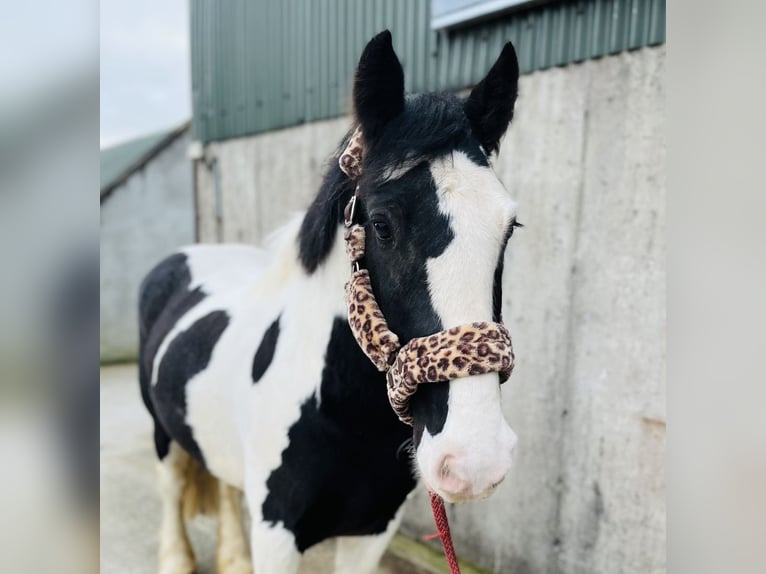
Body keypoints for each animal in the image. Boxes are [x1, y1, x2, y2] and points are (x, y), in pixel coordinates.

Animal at [138, 30, 521, 574]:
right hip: (162, 432)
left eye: (510, 228)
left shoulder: (373, 532)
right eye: (381, 225)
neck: (335, 408)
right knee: (171, 488)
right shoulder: (276, 533)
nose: (474, 461)